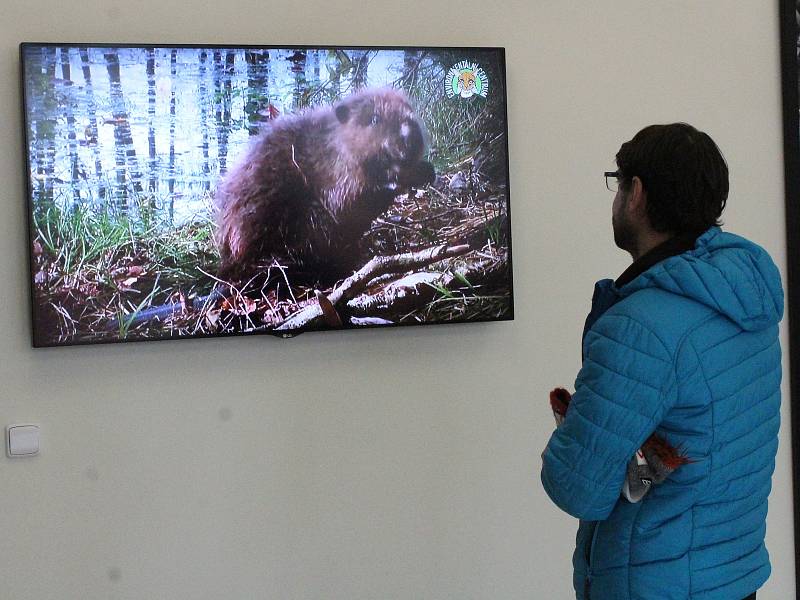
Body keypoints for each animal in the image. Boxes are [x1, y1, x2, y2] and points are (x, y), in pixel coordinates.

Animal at [216, 87, 434, 284]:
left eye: (410, 111)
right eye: (374, 119)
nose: (409, 136)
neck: (333, 143)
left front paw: (425, 171)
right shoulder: (334, 169)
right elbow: (345, 201)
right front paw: (393, 183)